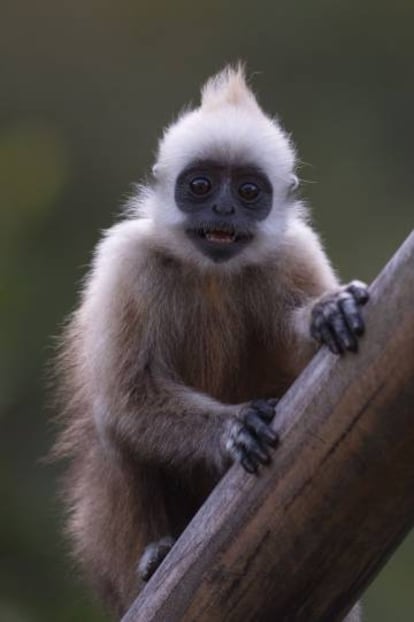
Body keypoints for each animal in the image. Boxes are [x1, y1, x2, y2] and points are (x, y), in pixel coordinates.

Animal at [52, 63, 368, 620]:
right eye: (200, 185)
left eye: (248, 192)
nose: (223, 208)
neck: (212, 273)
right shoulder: (126, 261)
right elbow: (124, 402)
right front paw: (234, 428)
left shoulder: (296, 251)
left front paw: (326, 314)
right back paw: (155, 559)